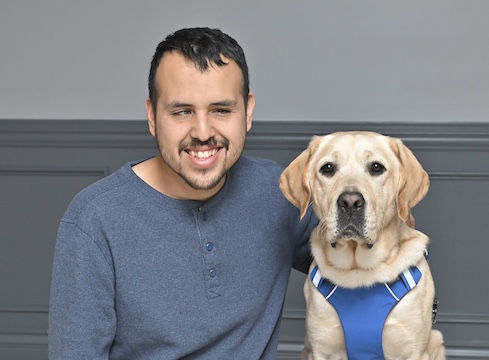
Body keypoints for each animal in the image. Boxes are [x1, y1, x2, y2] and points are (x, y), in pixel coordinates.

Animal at [278, 132, 442, 360]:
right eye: (328, 168)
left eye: (376, 167)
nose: (350, 202)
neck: (359, 271)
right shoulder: (322, 350)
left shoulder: (413, 351)